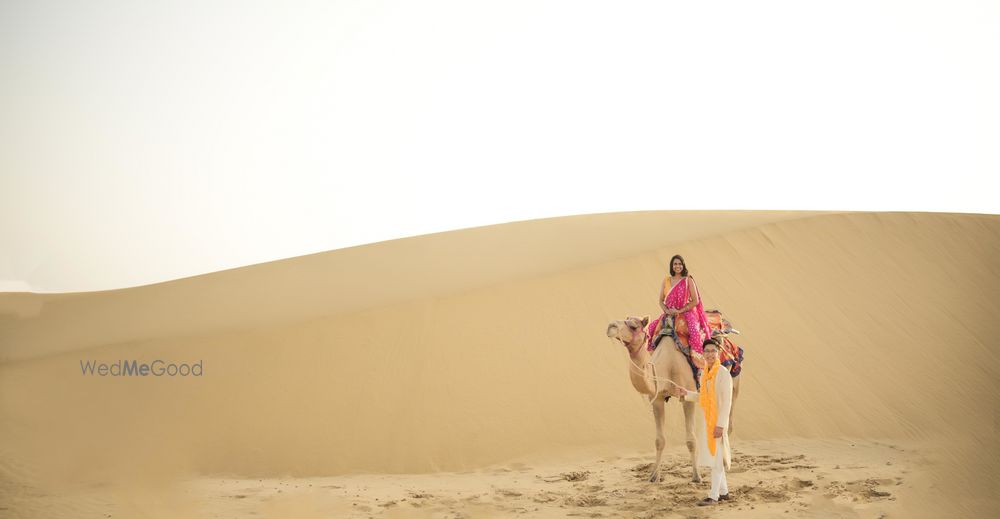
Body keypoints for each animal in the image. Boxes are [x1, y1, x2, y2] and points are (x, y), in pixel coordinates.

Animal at [600, 314, 744, 486]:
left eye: (633, 326)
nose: (611, 326)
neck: (668, 366)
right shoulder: (657, 398)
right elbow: (659, 440)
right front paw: (654, 476)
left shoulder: (687, 398)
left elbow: (691, 440)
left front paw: (696, 476)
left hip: (732, 381)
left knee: (728, 421)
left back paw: (722, 464)